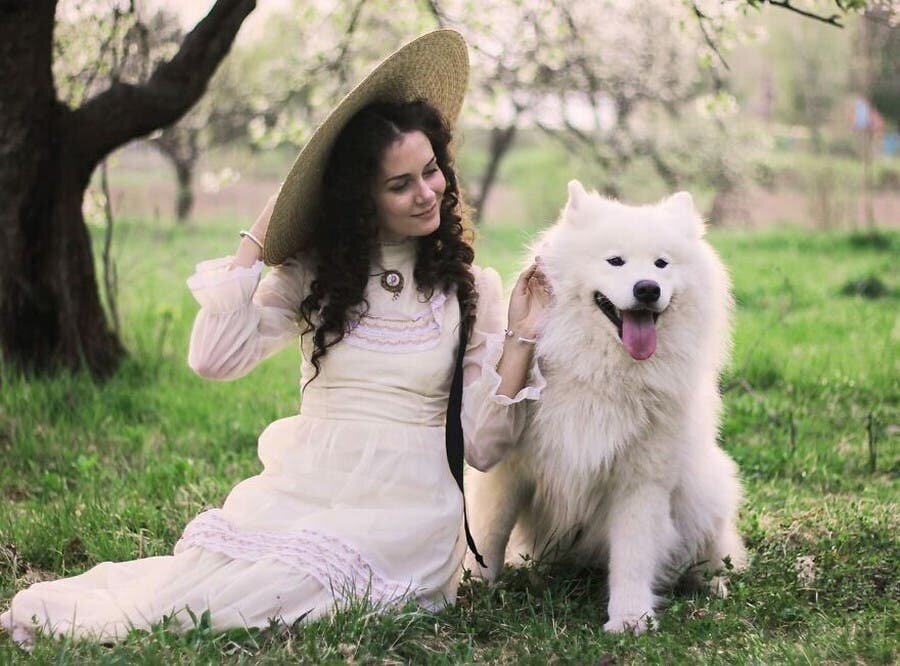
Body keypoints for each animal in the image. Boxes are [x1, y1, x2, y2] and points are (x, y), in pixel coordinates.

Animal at [464, 179, 744, 632]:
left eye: (662, 264)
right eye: (615, 261)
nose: (647, 288)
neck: (602, 373)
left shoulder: (639, 479)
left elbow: (633, 554)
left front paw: (630, 619)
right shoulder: (509, 471)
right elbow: (489, 537)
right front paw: (472, 592)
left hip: (705, 493)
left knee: (714, 553)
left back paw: (711, 584)